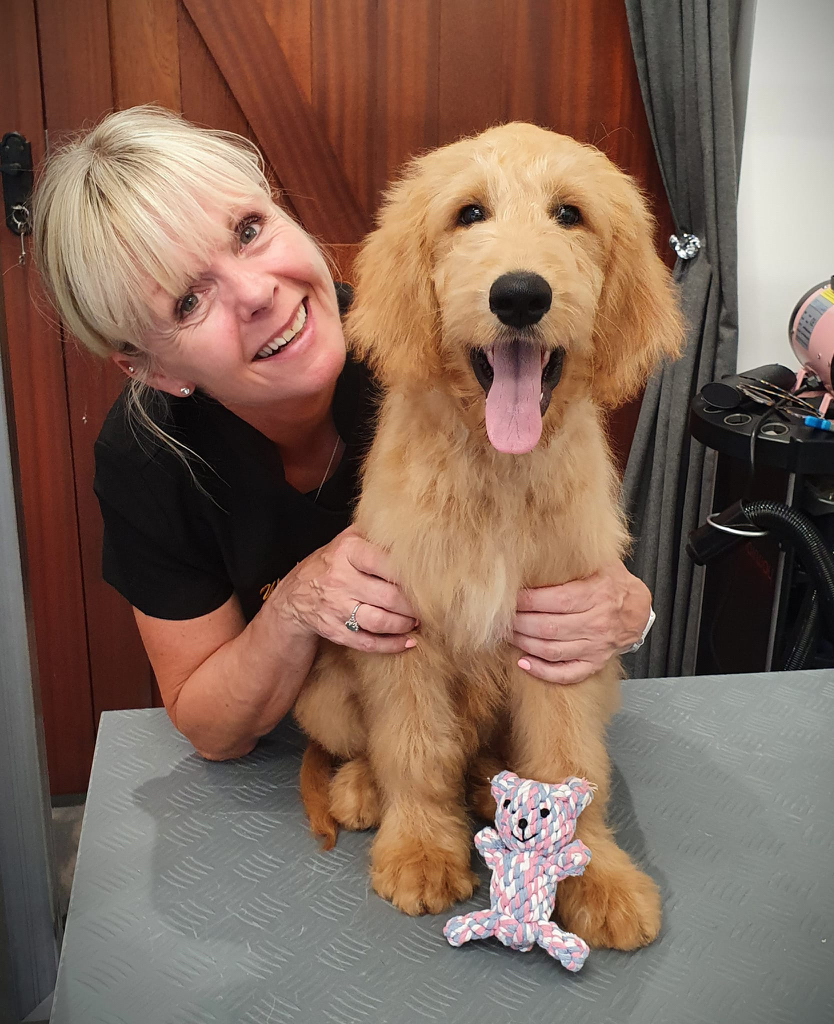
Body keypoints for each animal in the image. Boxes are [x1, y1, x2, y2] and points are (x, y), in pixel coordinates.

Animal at [297, 121, 684, 950]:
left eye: (569, 214)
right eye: (468, 213)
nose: (520, 294)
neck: (497, 473)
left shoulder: (561, 642)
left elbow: (571, 764)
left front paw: (595, 875)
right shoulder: (404, 628)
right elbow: (414, 747)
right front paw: (418, 849)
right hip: (328, 689)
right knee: (376, 748)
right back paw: (362, 789)